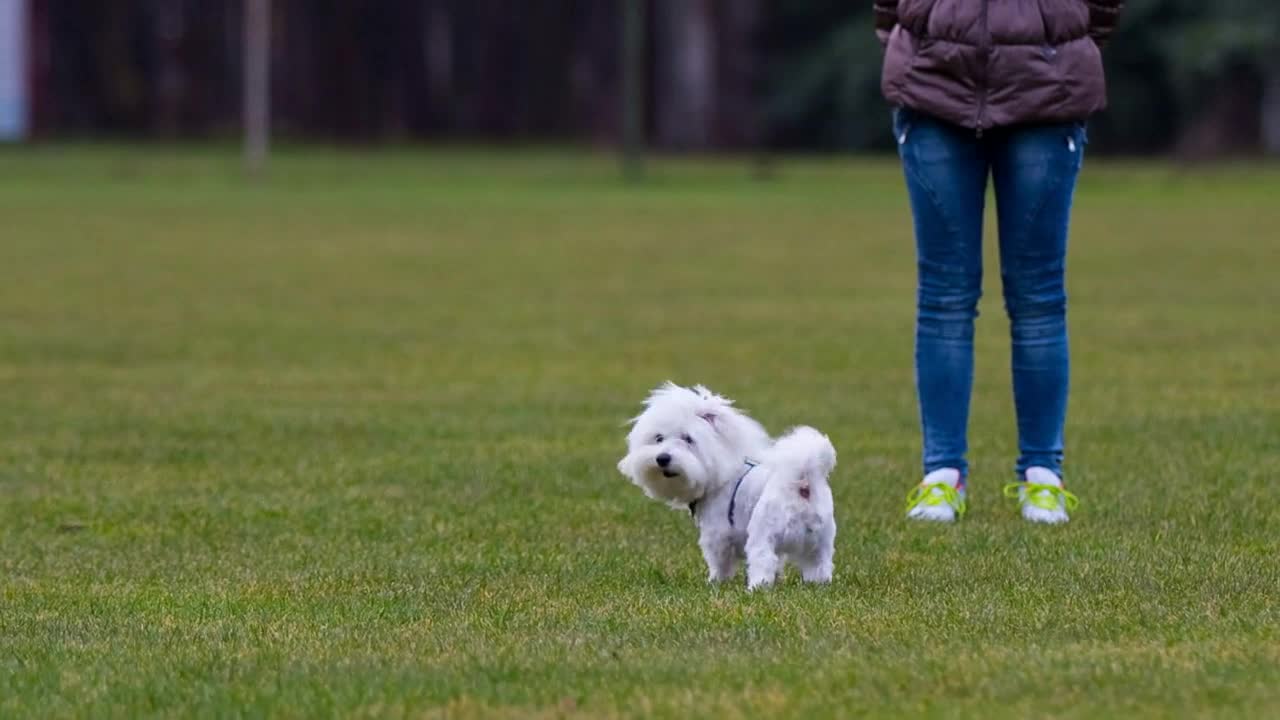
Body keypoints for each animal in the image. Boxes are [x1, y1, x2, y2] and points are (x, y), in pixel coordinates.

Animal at [611, 381, 834, 589]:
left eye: (688, 439)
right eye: (658, 438)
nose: (662, 458)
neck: (721, 476)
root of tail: (802, 484)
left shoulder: (717, 534)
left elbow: (719, 563)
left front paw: (715, 582)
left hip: (763, 533)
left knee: (763, 561)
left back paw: (756, 588)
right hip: (820, 544)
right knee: (819, 566)